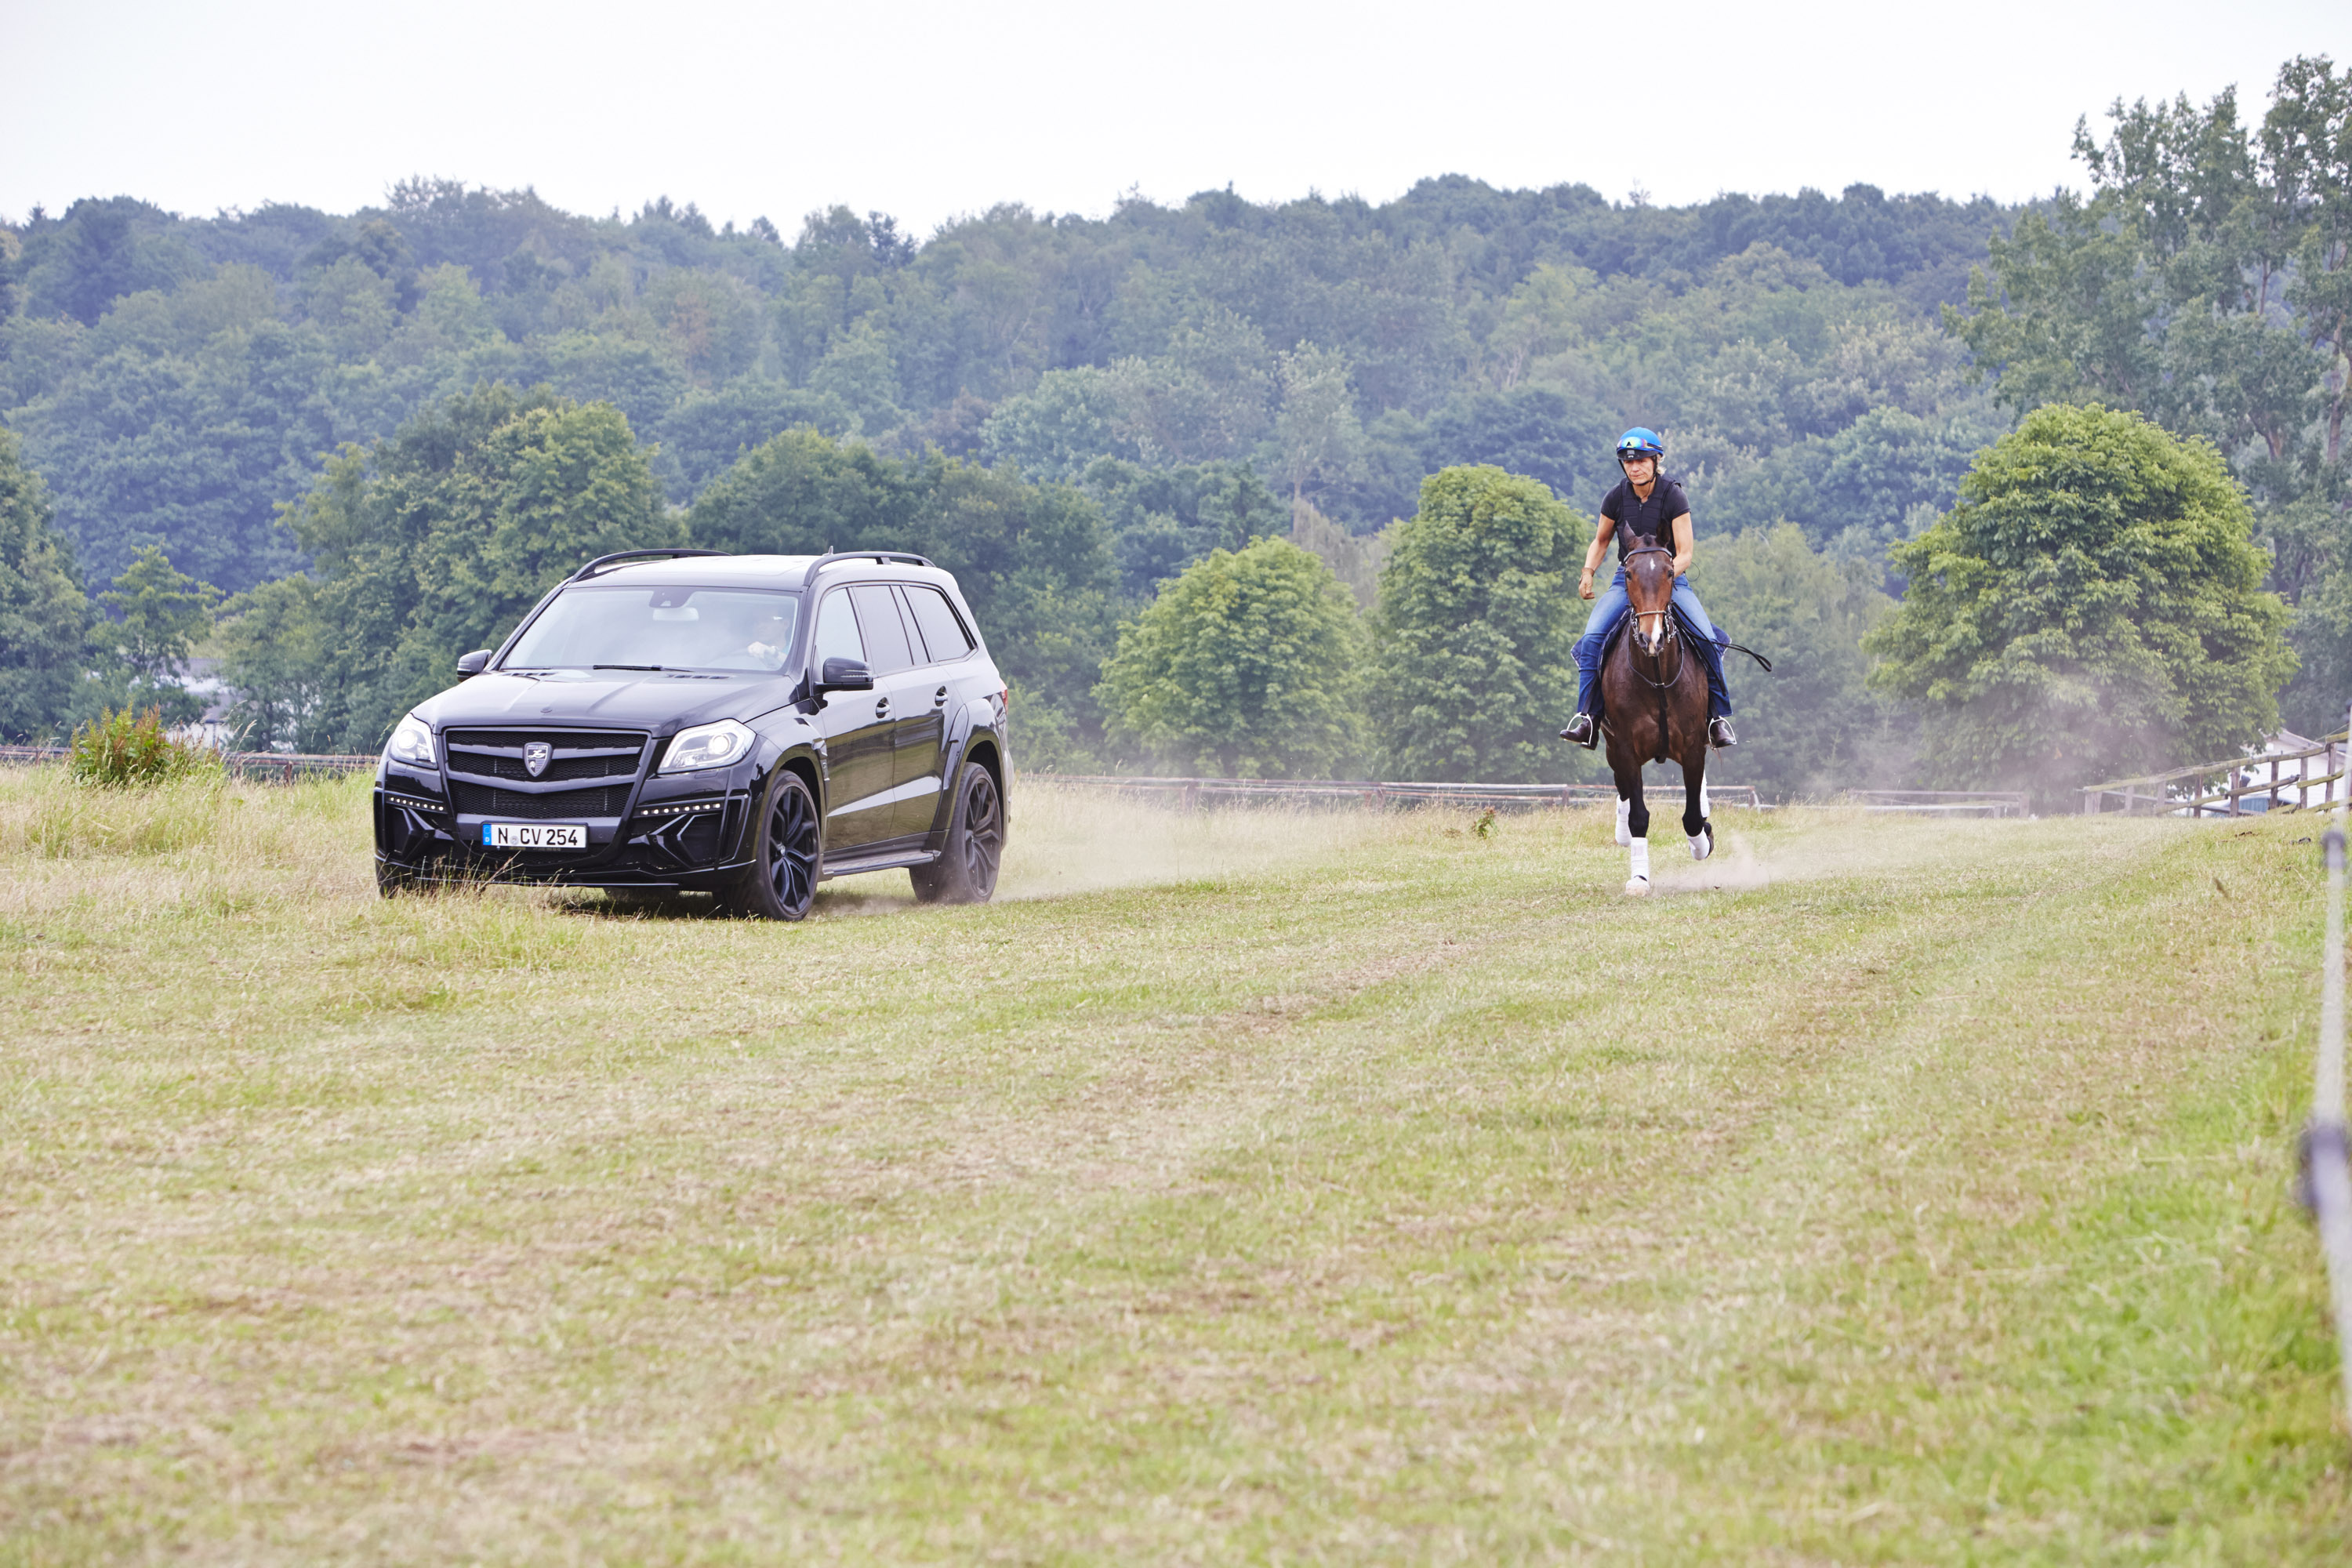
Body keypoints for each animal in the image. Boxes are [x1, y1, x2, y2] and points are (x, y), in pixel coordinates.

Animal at [1599, 550, 1712, 893]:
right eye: (1628, 574)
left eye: (1670, 573)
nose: (1652, 637)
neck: (1657, 677)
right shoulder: (1624, 746)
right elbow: (1638, 815)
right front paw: (1639, 878)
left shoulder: (1692, 746)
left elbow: (1692, 817)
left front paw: (1702, 843)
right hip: (1611, 746)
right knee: (1622, 788)